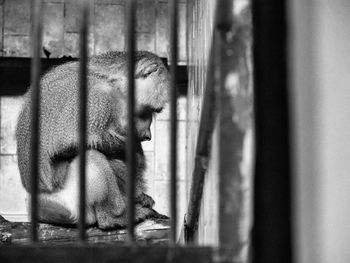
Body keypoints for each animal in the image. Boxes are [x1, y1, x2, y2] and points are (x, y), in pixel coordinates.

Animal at [16, 50, 170, 230]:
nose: (148, 134)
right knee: (91, 154)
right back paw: (114, 217)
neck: (115, 85)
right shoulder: (97, 98)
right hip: (64, 201)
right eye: (152, 110)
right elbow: (68, 146)